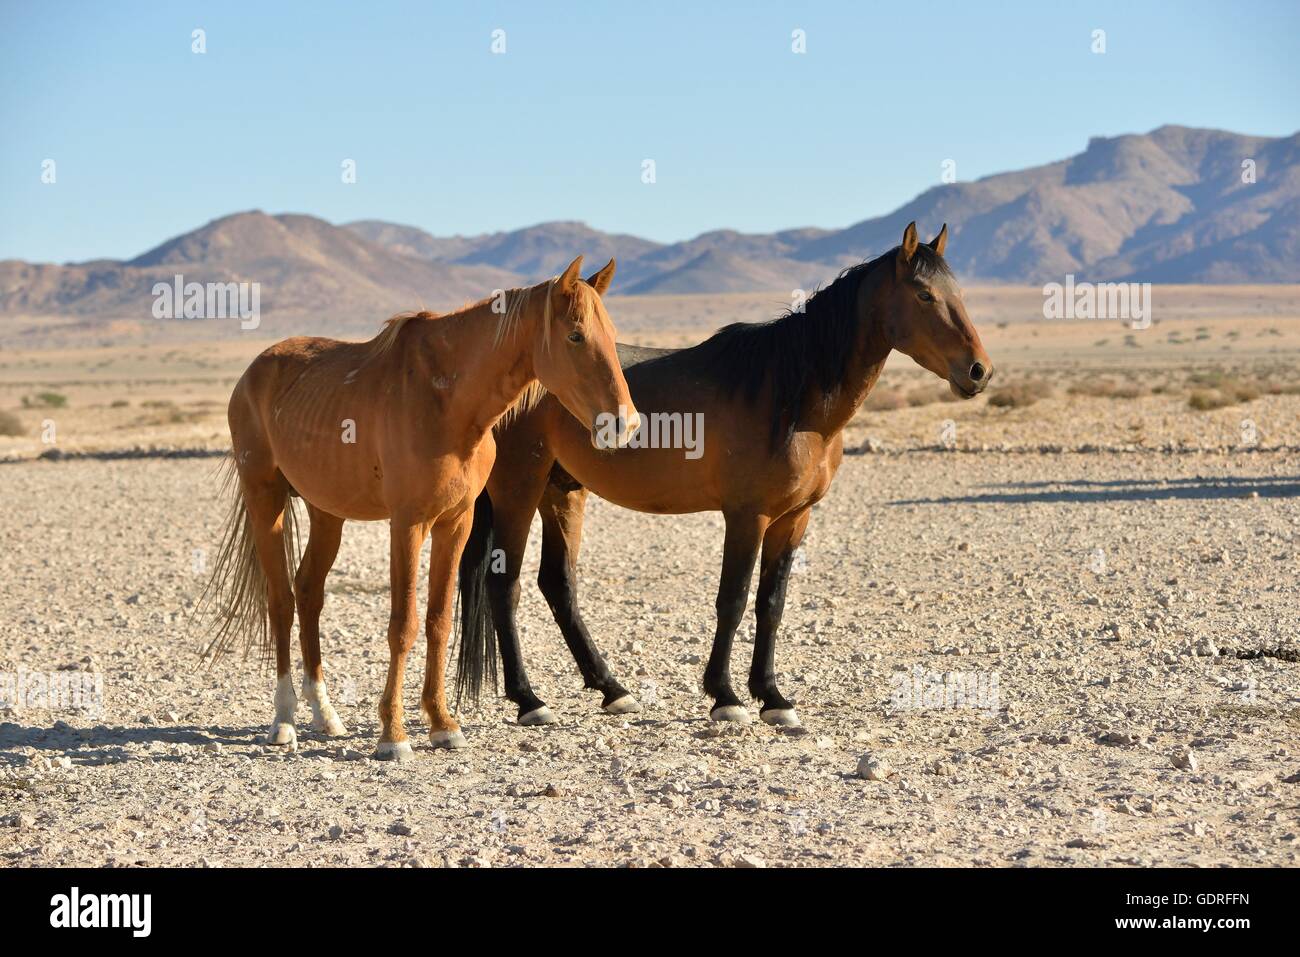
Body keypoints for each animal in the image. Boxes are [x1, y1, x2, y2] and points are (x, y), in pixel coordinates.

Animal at [201, 256, 639, 764]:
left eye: (611, 334)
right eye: (575, 336)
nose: (625, 423)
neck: (446, 400)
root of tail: (254, 371)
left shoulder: (455, 524)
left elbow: (438, 621)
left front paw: (442, 724)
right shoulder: (408, 524)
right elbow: (404, 625)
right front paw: (393, 734)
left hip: (326, 511)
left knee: (308, 592)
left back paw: (324, 714)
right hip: (264, 497)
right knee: (281, 601)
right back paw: (284, 719)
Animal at [452, 223, 987, 728]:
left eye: (958, 292)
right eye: (924, 294)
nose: (978, 371)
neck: (791, 397)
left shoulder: (794, 518)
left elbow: (771, 603)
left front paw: (772, 697)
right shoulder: (747, 516)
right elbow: (732, 599)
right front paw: (725, 696)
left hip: (561, 492)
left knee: (558, 585)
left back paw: (612, 689)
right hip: (519, 489)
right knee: (505, 585)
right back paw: (529, 700)